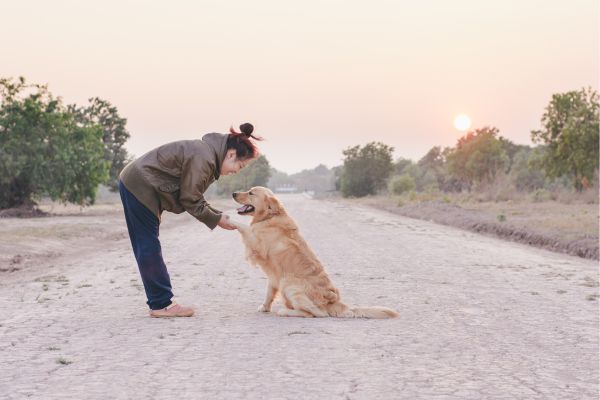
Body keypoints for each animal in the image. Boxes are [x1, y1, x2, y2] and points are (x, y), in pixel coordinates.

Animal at [230, 186, 398, 320]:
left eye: (251, 193)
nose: (233, 193)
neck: (270, 216)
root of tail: (334, 302)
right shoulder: (273, 275)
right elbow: (269, 293)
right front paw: (265, 307)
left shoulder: (258, 244)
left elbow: (245, 228)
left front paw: (229, 220)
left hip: (289, 284)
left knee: (316, 313)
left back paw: (285, 311)